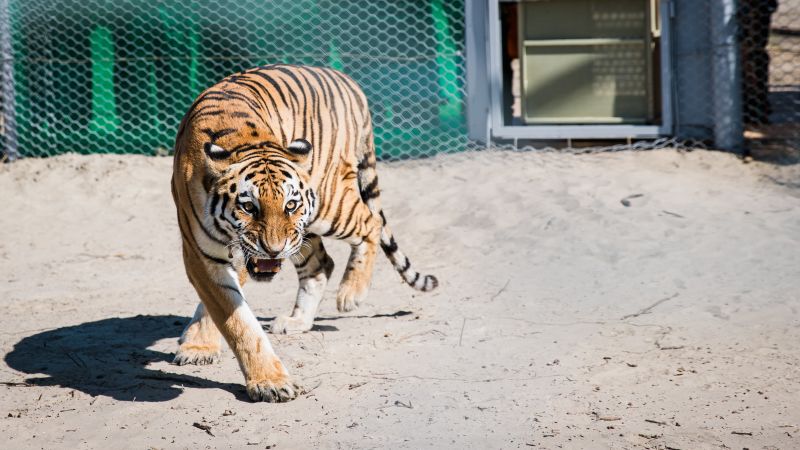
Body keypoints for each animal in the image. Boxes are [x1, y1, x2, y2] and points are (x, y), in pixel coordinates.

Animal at [170, 64, 440, 404]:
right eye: (249, 207)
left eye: (290, 204)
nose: (273, 250)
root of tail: (348, 81)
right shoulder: (201, 253)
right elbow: (232, 317)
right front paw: (202, 347)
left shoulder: (236, 254)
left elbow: (233, 318)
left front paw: (267, 382)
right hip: (304, 231)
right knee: (321, 263)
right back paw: (298, 321)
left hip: (328, 204)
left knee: (370, 222)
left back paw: (351, 294)